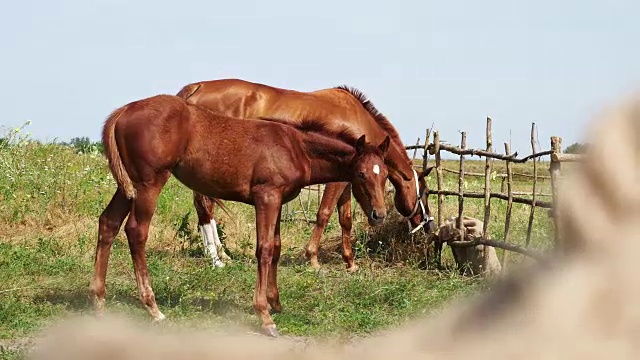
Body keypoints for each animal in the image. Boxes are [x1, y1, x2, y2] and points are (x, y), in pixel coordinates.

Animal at [90, 94, 390, 336]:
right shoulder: (266, 197)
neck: (294, 147)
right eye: (360, 174)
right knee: (136, 231)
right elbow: (264, 249)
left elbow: (276, 248)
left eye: (385, 174)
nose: (379, 214)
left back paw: (98, 300)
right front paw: (265, 316)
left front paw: (276, 302)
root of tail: (124, 110)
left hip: (128, 186)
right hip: (148, 183)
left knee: (108, 223)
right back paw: (153, 308)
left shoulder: (278, 201)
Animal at [175, 79, 436, 270]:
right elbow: (324, 214)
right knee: (204, 206)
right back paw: (215, 258)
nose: (429, 225)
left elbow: (345, 218)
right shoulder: (337, 180)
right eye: (424, 193)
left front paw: (350, 262)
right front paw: (312, 258)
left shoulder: (349, 180)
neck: (358, 119)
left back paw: (221, 255)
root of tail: (197, 87)